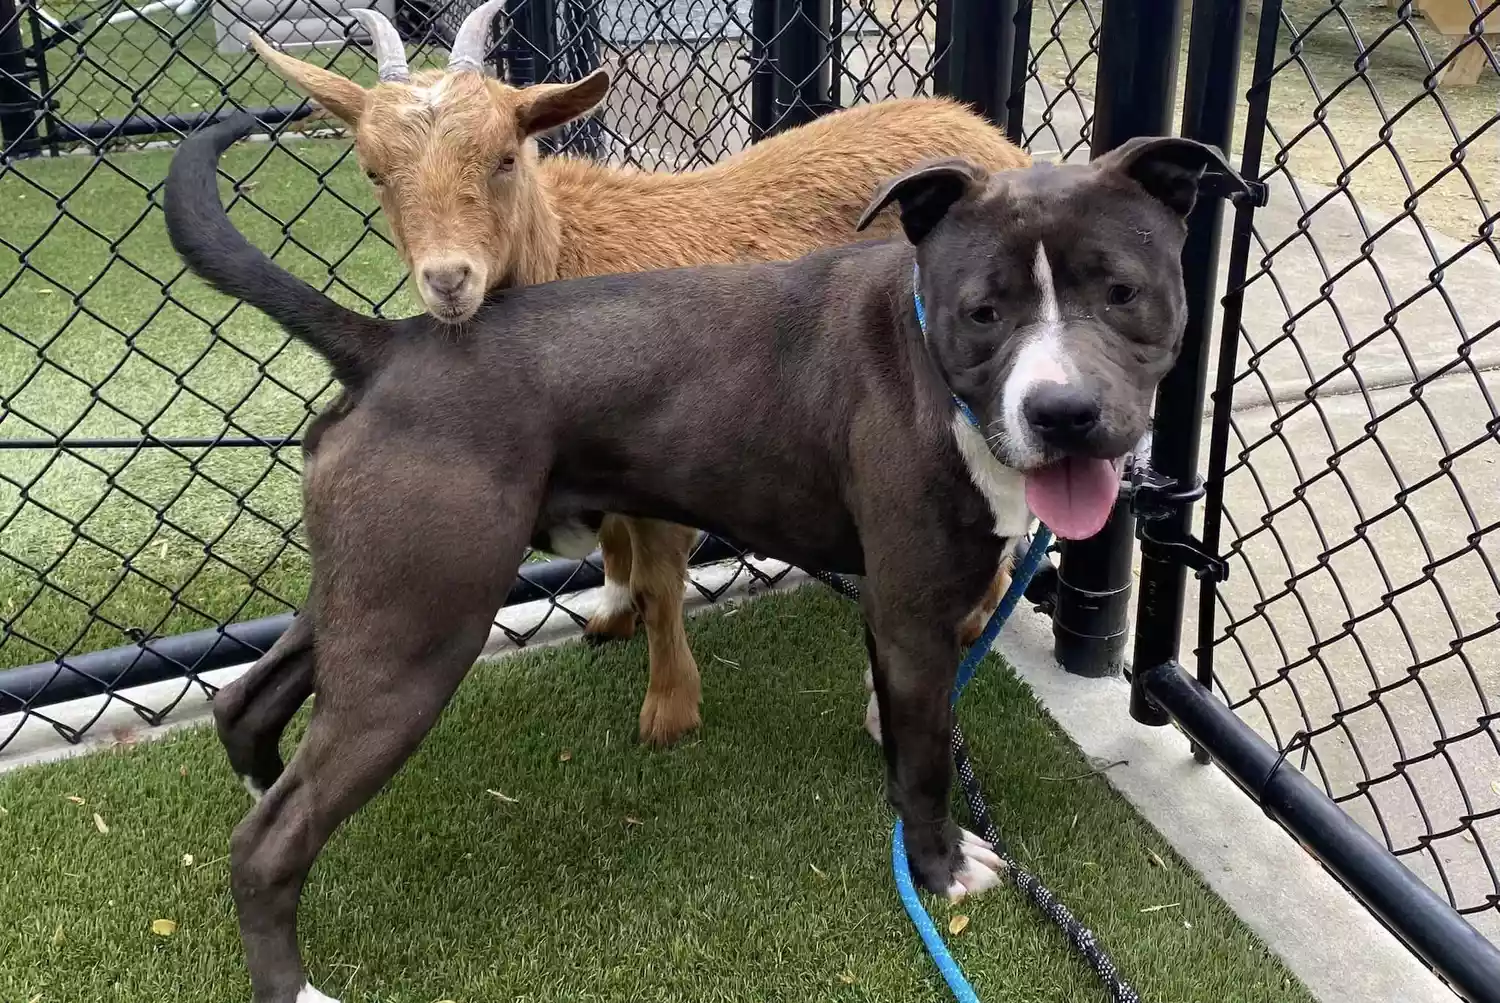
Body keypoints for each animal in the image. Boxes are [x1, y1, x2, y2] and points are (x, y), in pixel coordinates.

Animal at [161, 113, 1242, 995]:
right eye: (985, 309)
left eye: (1123, 292)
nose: (1066, 414)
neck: (930, 356)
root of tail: (390, 345)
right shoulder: (913, 607)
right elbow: (931, 758)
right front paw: (937, 868)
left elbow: (907, 732)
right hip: (417, 635)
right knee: (268, 840)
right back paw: (294, 977)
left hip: (375, 597)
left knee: (248, 702)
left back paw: (261, 776)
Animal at [255, 1, 1032, 743]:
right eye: (373, 171)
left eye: (505, 157)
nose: (450, 280)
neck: (569, 252)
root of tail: (990, 136)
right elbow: (611, 543)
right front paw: (611, 615)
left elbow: (662, 582)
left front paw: (668, 709)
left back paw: (972, 622)